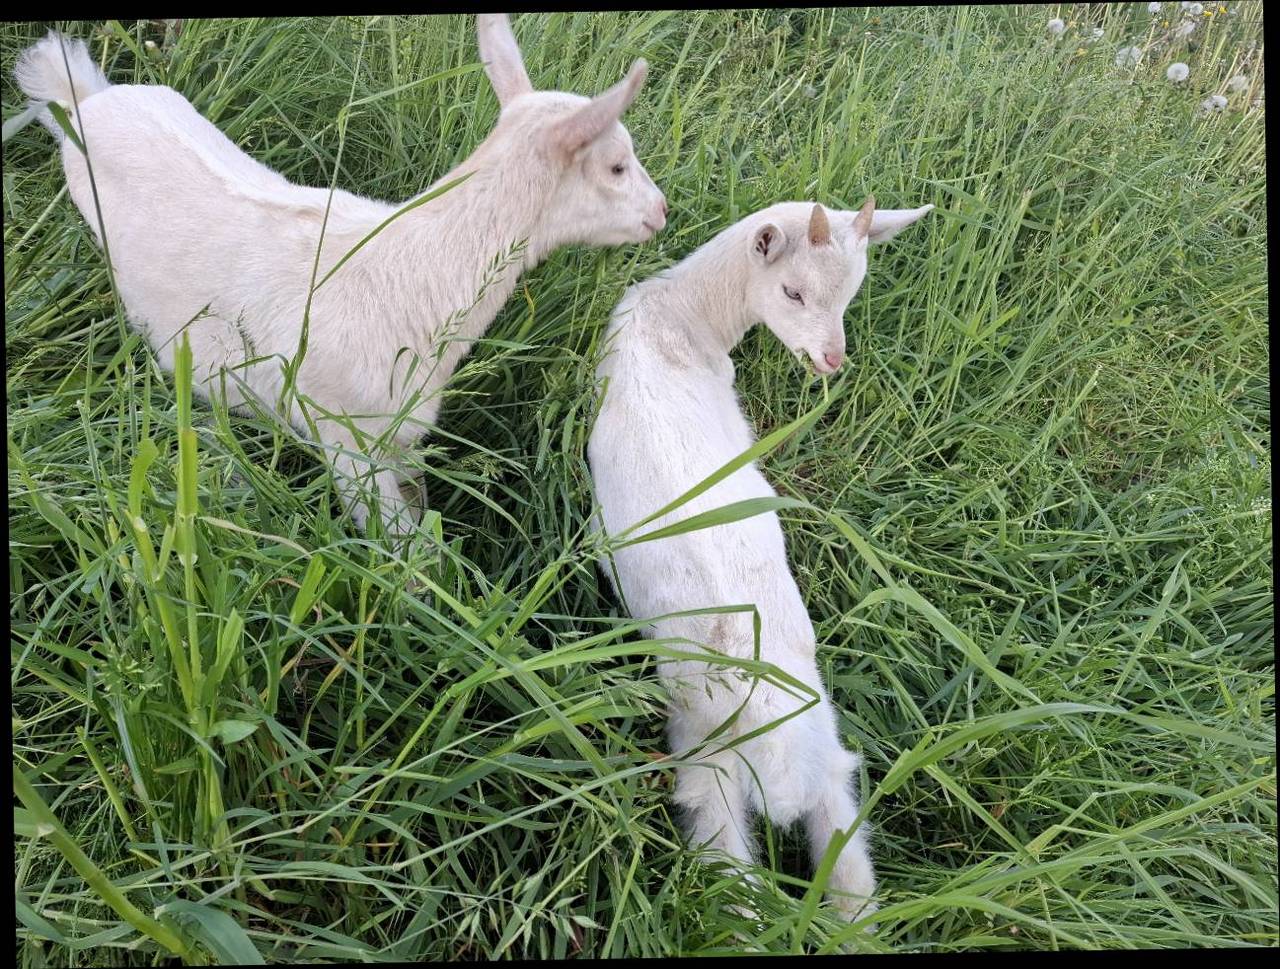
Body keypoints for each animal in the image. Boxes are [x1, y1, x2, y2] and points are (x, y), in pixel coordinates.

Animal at [13, 15, 668, 535]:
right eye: (616, 165)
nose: (660, 212)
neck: (419, 272)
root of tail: (86, 100)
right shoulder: (341, 432)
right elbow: (402, 547)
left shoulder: (399, 433)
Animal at [587, 197, 933, 920]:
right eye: (793, 291)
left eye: (853, 292)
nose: (831, 359)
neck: (680, 316)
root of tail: (780, 761)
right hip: (800, 760)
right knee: (836, 876)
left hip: (720, 763)